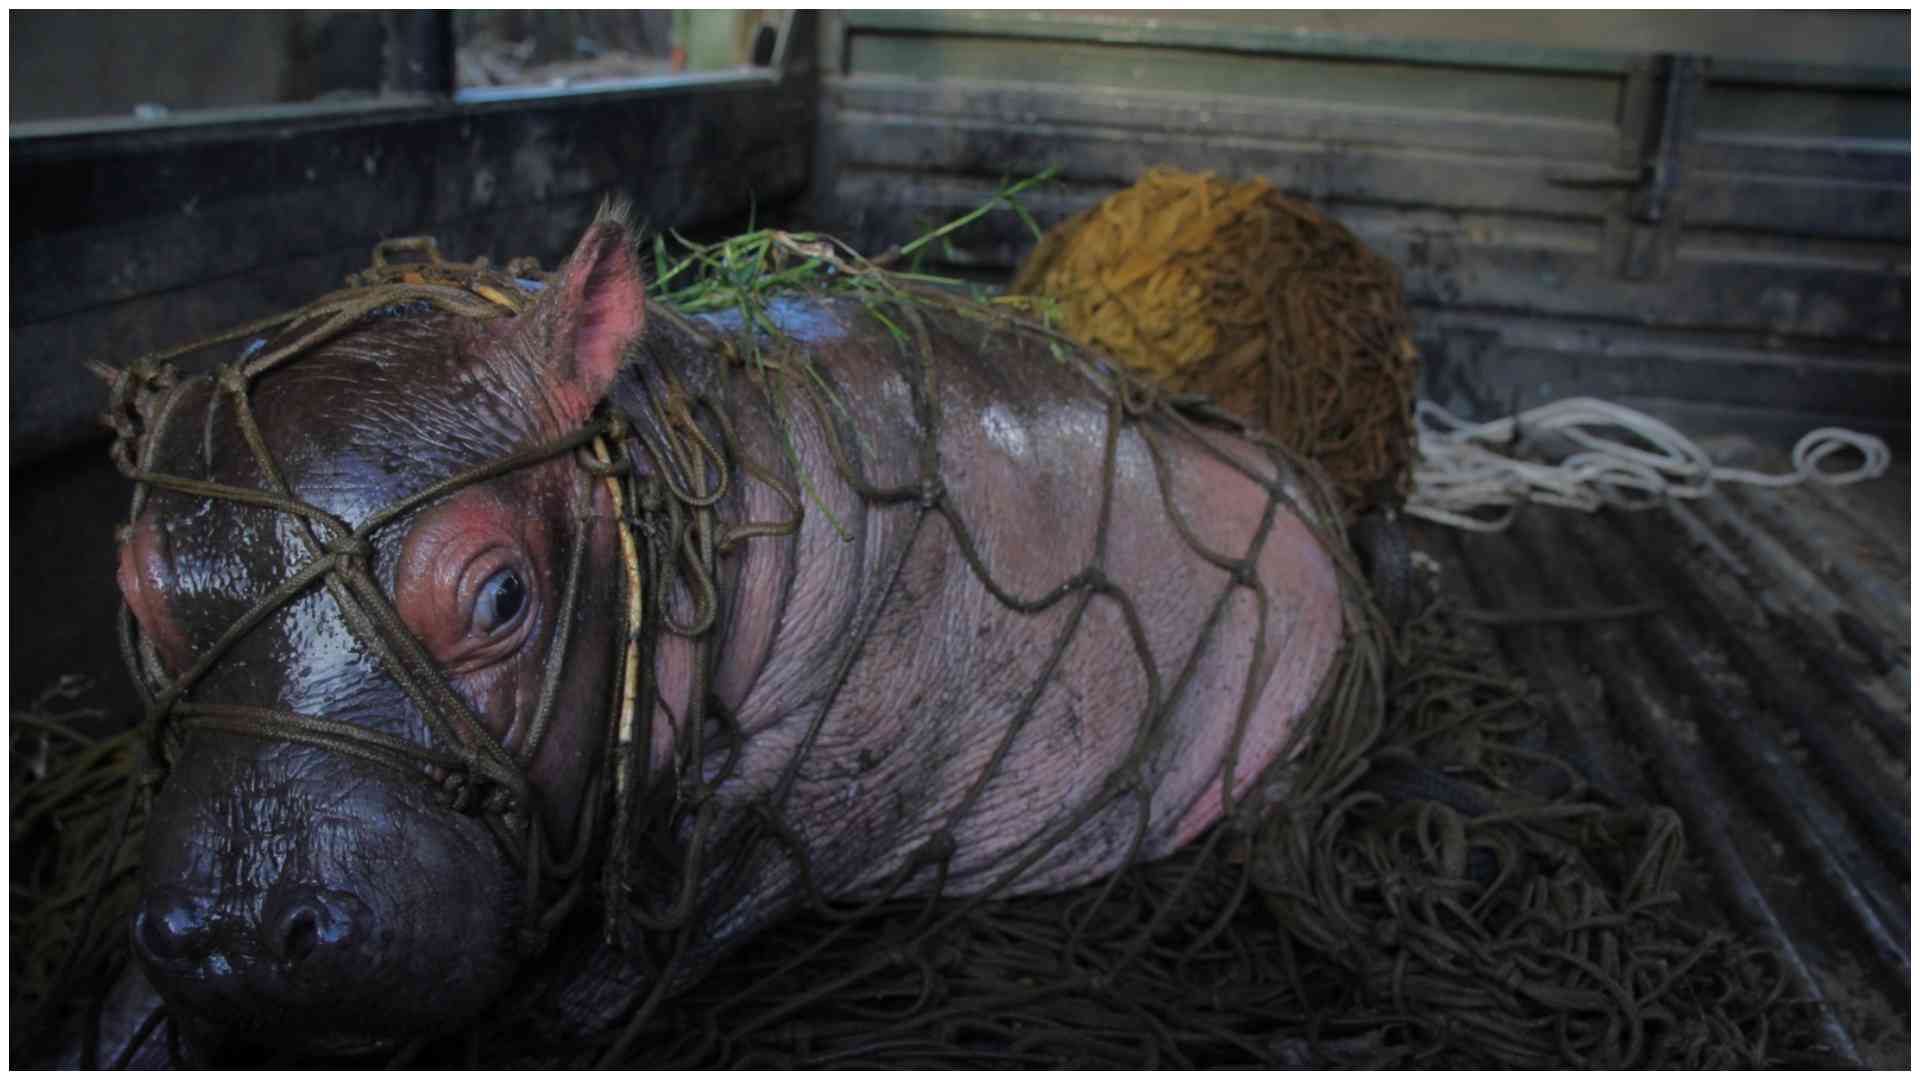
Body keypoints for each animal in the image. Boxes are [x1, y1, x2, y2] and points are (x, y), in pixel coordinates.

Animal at [76, 207, 1350, 1065]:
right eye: (135, 594)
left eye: (499, 598)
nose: (237, 926)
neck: (680, 457)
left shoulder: (818, 783)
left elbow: (661, 936)